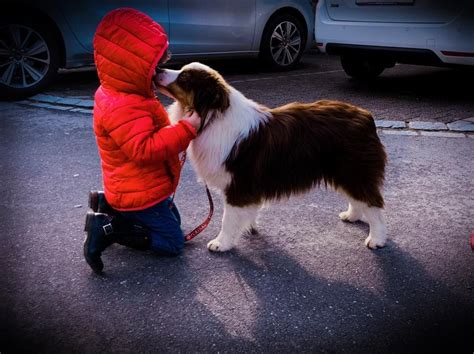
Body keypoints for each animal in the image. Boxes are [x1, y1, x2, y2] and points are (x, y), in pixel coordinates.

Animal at [157, 62, 386, 253]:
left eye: (184, 77)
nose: (158, 69)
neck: (212, 116)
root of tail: (367, 117)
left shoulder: (238, 184)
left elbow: (227, 218)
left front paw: (221, 243)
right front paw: (247, 226)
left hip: (354, 170)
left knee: (373, 203)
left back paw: (377, 239)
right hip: (344, 171)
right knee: (357, 198)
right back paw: (352, 216)